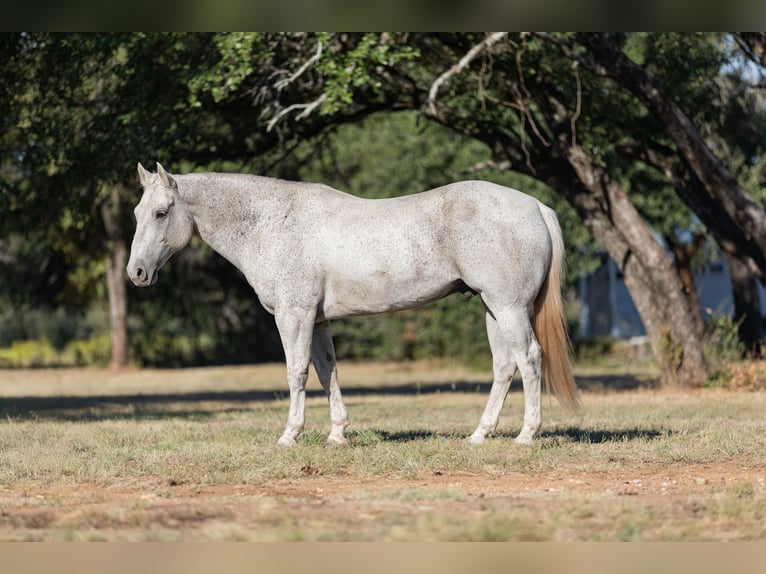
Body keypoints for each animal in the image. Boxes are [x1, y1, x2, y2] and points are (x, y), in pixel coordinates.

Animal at [129, 162, 580, 450]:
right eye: (136, 212)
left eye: (161, 212)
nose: (136, 273)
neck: (272, 223)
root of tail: (535, 206)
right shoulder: (318, 321)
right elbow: (327, 372)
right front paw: (337, 435)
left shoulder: (294, 317)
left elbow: (296, 373)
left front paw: (290, 436)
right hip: (493, 309)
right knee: (504, 366)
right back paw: (479, 435)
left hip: (509, 307)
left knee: (529, 358)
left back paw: (526, 435)